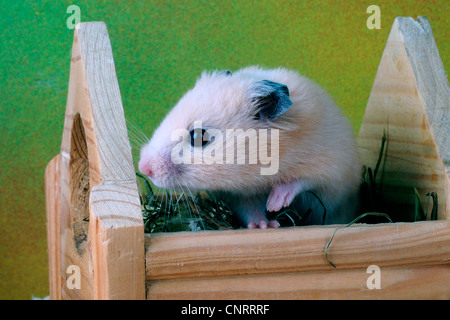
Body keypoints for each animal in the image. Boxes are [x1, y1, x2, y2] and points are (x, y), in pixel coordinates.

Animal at [139, 66, 364, 229]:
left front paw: (274, 203)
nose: (143, 167)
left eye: (199, 137)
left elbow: (300, 181)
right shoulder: (241, 194)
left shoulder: (331, 169)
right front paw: (265, 225)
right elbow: (250, 208)